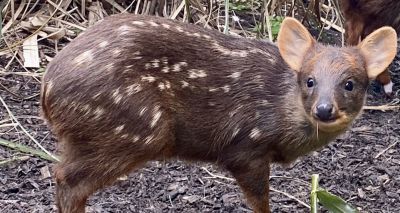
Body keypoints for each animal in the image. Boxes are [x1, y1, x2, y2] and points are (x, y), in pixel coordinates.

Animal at [39, 13, 396, 213]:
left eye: (350, 84)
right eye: (309, 80)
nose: (324, 109)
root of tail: (47, 90)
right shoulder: (245, 148)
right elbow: (260, 201)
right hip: (132, 129)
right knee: (67, 179)